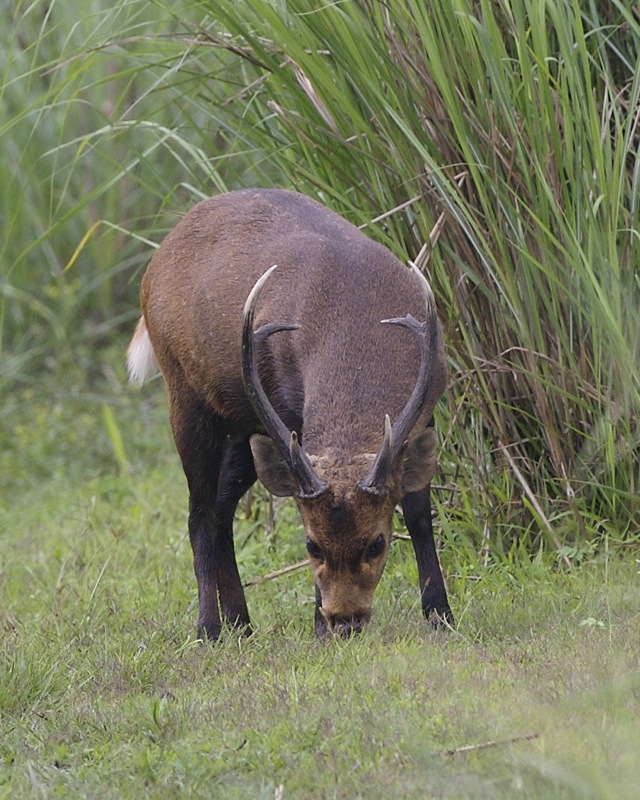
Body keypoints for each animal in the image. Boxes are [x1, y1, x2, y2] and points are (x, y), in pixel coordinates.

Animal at [127, 188, 453, 639]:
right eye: (311, 545)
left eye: (377, 543)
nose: (344, 619)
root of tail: (156, 259)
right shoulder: (287, 411)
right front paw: (318, 627)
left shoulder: (429, 404)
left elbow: (420, 513)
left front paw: (441, 614)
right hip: (185, 393)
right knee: (199, 511)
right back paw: (209, 628)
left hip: (247, 424)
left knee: (222, 506)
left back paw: (242, 623)